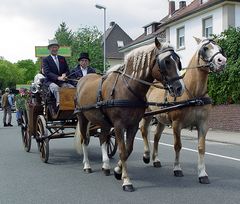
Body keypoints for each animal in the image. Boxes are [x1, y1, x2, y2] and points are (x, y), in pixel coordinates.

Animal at [74, 37, 184, 191]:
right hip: (82, 118)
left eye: (177, 60)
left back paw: (106, 166)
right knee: (85, 141)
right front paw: (126, 181)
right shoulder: (119, 126)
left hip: (104, 122)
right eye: (166, 62)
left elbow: (128, 150)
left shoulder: (133, 125)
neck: (128, 88)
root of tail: (81, 80)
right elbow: (122, 151)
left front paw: (117, 171)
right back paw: (87, 165)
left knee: (103, 138)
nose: (179, 88)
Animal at [140, 37, 226, 185]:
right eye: (205, 48)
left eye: (219, 48)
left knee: (156, 137)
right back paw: (146, 155)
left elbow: (201, 147)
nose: (222, 60)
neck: (194, 94)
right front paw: (177, 168)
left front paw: (202, 173)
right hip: (146, 115)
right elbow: (177, 145)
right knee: (144, 131)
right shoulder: (176, 124)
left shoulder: (203, 124)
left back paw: (155, 159)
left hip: (161, 119)